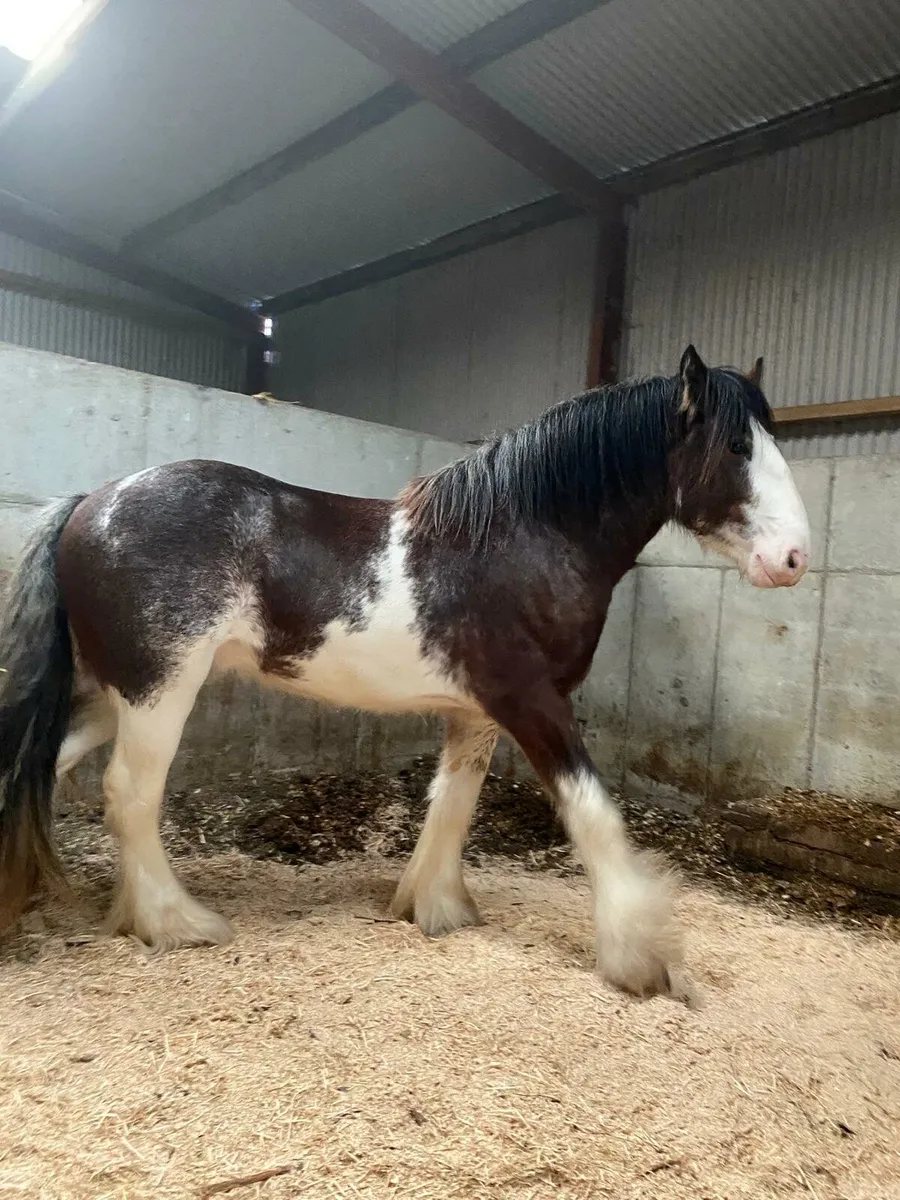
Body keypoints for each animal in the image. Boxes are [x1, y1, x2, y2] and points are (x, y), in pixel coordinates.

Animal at [0, 345, 810, 998]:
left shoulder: (477, 712)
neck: (522, 536)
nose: (794, 559)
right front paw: (642, 958)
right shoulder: (532, 701)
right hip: (158, 689)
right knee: (129, 794)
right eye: (736, 445)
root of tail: (93, 501)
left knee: (42, 766)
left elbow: (452, 805)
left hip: (108, 694)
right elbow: (593, 813)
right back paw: (177, 922)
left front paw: (436, 908)